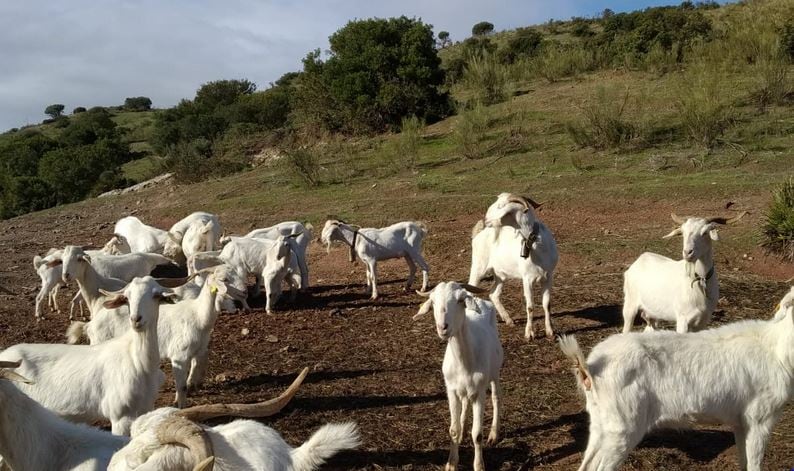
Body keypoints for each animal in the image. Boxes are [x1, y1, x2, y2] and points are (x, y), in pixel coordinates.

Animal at [0, 276, 183, 436]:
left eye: (156, 295)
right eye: (126, 297)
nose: (136, 319)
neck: (137, 361)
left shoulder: (145, 409)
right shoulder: (120, 416)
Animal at [408, 282, 502, 470]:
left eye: (460, 300)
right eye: (433, 302)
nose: (443, 327)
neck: (465, 361)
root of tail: (479, 301)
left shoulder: (479, 392)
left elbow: (477, 434)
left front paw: (479, 465)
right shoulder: (451, 390)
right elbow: (453, 430)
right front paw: (451, 463)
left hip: (495, 373)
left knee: (495, 397)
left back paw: (494, 434)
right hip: (463, 389)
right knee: (465, 402)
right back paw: (463, 429)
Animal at [464, 195, 556, 340]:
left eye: (500, 206)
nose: (486, 219)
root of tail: (479, 232)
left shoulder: (548, 276)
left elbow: (547, 304)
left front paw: (550, 331)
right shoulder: (527, 279)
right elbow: (530, 306)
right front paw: (529, 333)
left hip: (500, 274)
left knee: (493, 294)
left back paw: (508, 320)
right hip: (478, 267)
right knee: (469, 292)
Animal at [556, 288, 792, 471]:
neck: (778, 350)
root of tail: (590, 368)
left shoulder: (740, 422)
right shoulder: (760, 419)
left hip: (601, 423)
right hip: (622, 426)